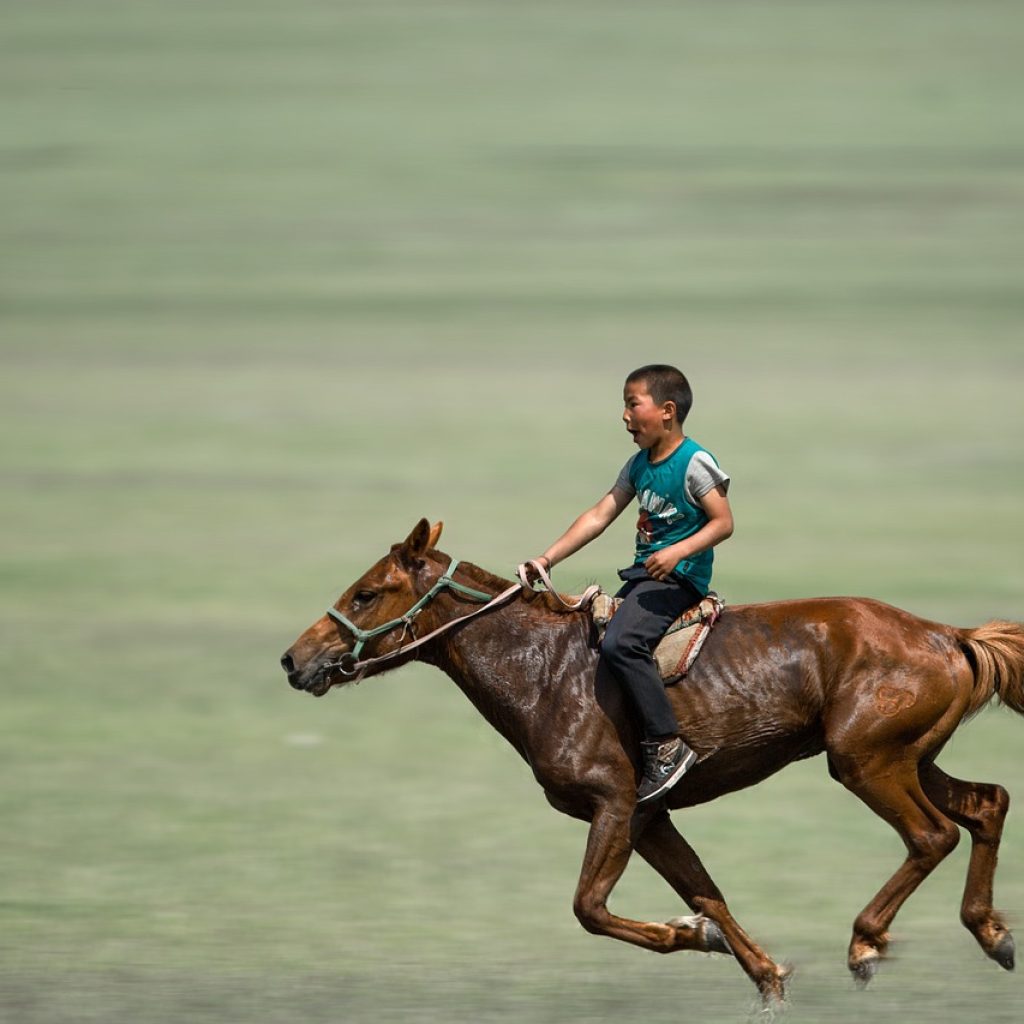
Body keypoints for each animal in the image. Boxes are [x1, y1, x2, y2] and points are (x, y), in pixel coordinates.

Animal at [280, 520, 1024, 999]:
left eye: (365, 593)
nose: (294, 659)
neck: (544, 670)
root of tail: (949, 635)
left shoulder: (612, 805)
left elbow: (590, 907)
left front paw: (690, 936)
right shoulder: (651, 816)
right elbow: (707, 892)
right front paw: (763, 973)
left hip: (865, 762)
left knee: (933, 834)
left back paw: (866, 942)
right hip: (907, 757)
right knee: (988, 803)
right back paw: (993, 934)